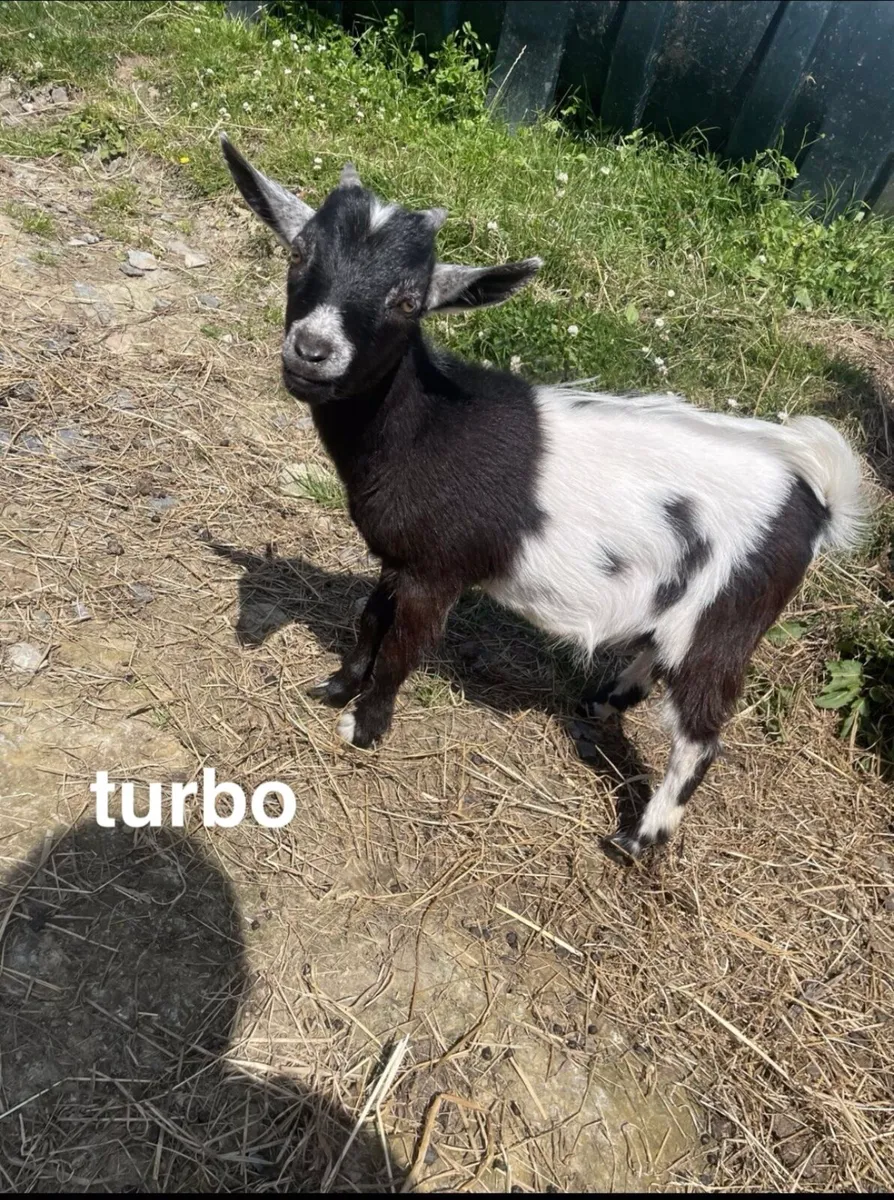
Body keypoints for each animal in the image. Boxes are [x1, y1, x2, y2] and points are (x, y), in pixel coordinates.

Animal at [221, 135, 866, 859]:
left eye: (408, 301)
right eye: (298, 254)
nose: (312, 351)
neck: (427, 425)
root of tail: (815, 503)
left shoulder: (438, 572)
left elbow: (402, 650)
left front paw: (364, 728)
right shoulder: (402, 556)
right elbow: (368, 620)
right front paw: (334, 689)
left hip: (725, 622)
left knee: (701, 737)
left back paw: (637, 840)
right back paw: (602, 701)